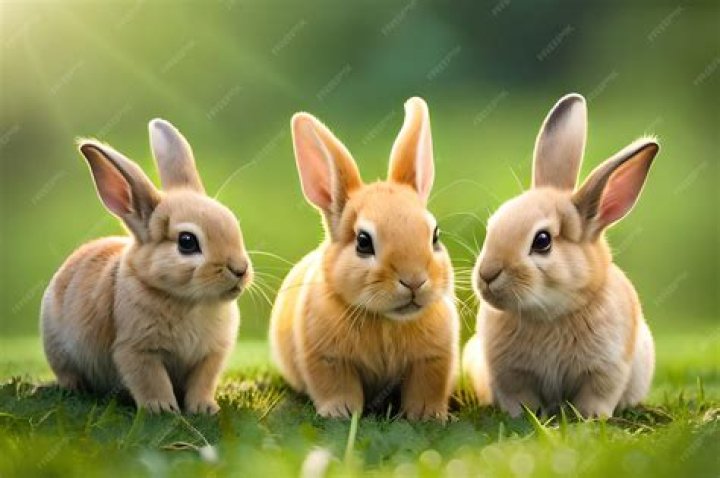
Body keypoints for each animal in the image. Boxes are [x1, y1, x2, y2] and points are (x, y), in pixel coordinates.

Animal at [40, 119, 252, 414]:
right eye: (187, 242)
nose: (240, 269)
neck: (190, 302)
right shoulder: (136, 350)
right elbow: (152, 381)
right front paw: (162, 409)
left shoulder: (211, 355)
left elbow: (202, 383)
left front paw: (204, 409)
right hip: (57, 348)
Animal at [270, 98, 459, 421]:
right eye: (363, 242)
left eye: (435, 236)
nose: (414, 281)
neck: (385, 319)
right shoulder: (327, 359)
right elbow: (337, 387)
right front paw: (341, 413)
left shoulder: (433, 359)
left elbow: (425, 388)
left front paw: (427, 415)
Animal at [462, 93, 659, 418]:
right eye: (493, 226)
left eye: (542, 241)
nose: (487, 274)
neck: (550, 315)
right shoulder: (509, 374)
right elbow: (518, 397)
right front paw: (525, 415)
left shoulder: (606, 370)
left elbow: (597, 395)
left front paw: (590, 417)